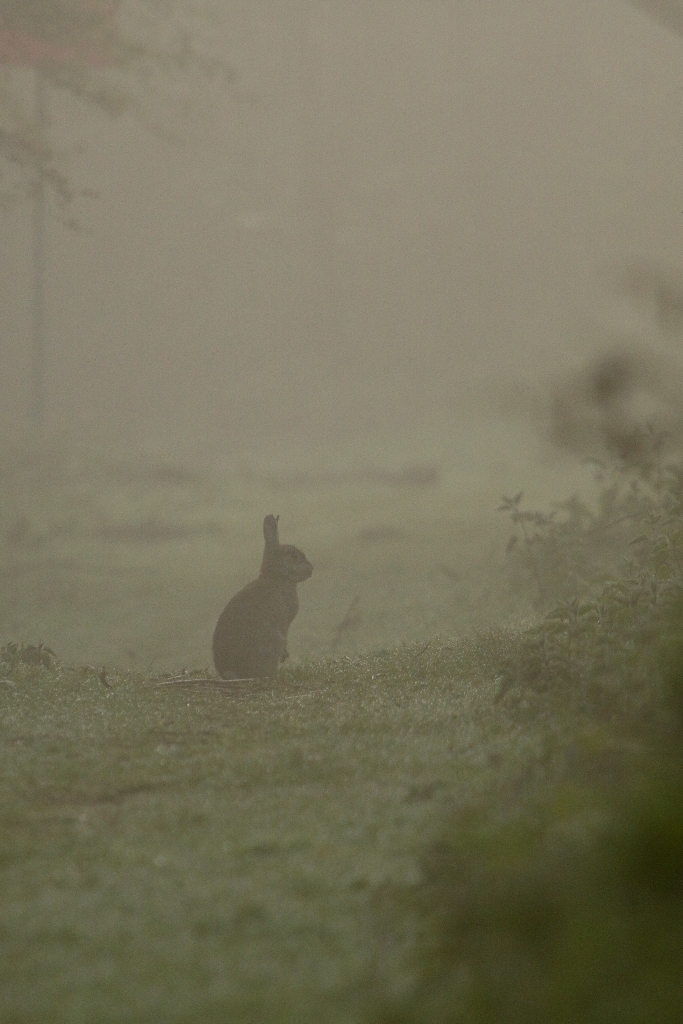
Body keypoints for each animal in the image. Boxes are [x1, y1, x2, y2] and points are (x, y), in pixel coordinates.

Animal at [211, 512, 313, 679]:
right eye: (294, 555)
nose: (311, 569)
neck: (277, 575)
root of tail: (233, 672)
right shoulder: (285, 622)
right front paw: (285, 655)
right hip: (271, 641)